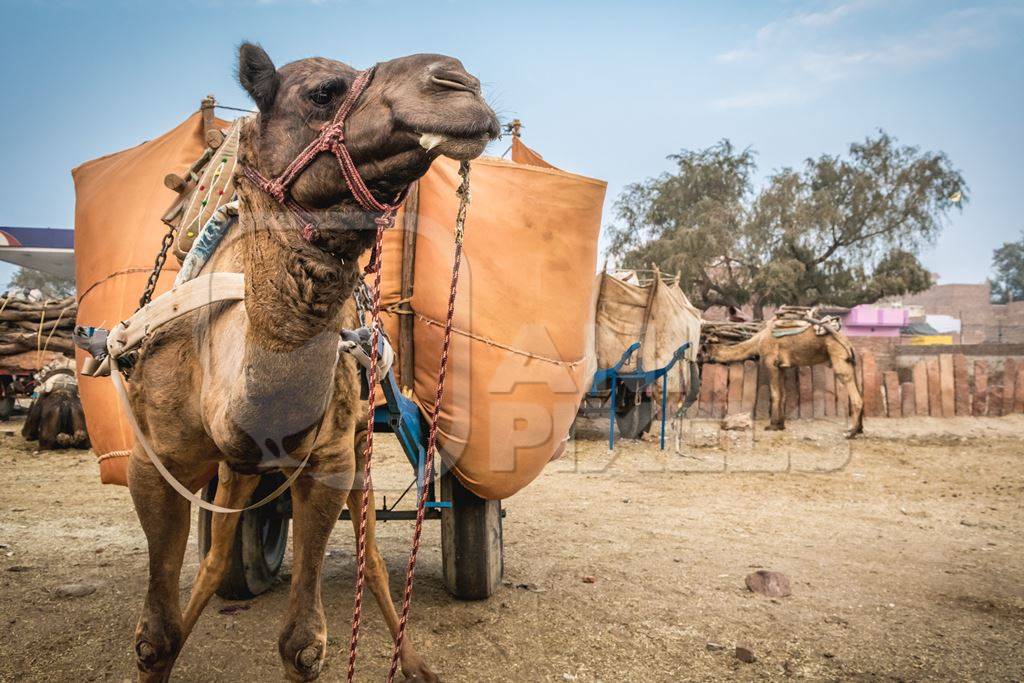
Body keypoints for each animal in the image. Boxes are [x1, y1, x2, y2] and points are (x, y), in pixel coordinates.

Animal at [121, 45, 497, 679]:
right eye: (322, 92)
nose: (460, 83)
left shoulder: (330, 460)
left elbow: (303, 643)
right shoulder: (154, 463)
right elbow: (156, 635)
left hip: (359, 442)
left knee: (374, 559)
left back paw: (414, 663)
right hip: (244, 468)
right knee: (221, 555)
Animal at [704, 321, 864, 438]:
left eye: (703, 349)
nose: (699, 359)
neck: (758, 341)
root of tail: (848, 343)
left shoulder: (771, 363)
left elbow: (775, 394)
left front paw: (772, 425)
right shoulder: (782, 367)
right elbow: (783, 395)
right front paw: (780, 425)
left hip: (839, 358)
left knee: (855, 395)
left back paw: (851, 433)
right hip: (851, 363)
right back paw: (859, 429)